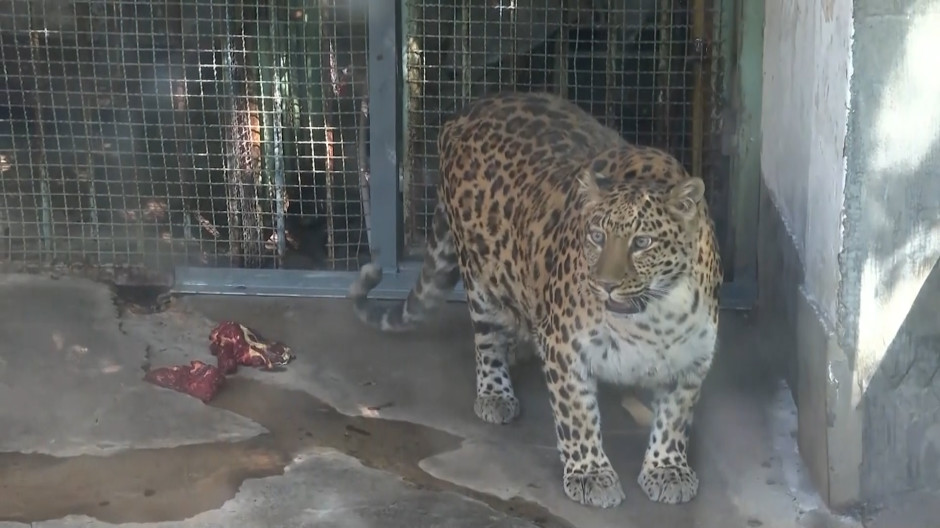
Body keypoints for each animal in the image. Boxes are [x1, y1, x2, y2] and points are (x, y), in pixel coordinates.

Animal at [348, 91, 724, 508]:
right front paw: (591, 474)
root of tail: (469, 108)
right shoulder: (566, 347)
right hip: (480, 276)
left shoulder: (691, 359)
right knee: (486, 339)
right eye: (596, 236)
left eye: (642, 242)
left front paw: (666, 468)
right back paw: (496, 392)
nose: (605, 285)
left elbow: (674, 419)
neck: (654, 318)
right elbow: (577, 415)